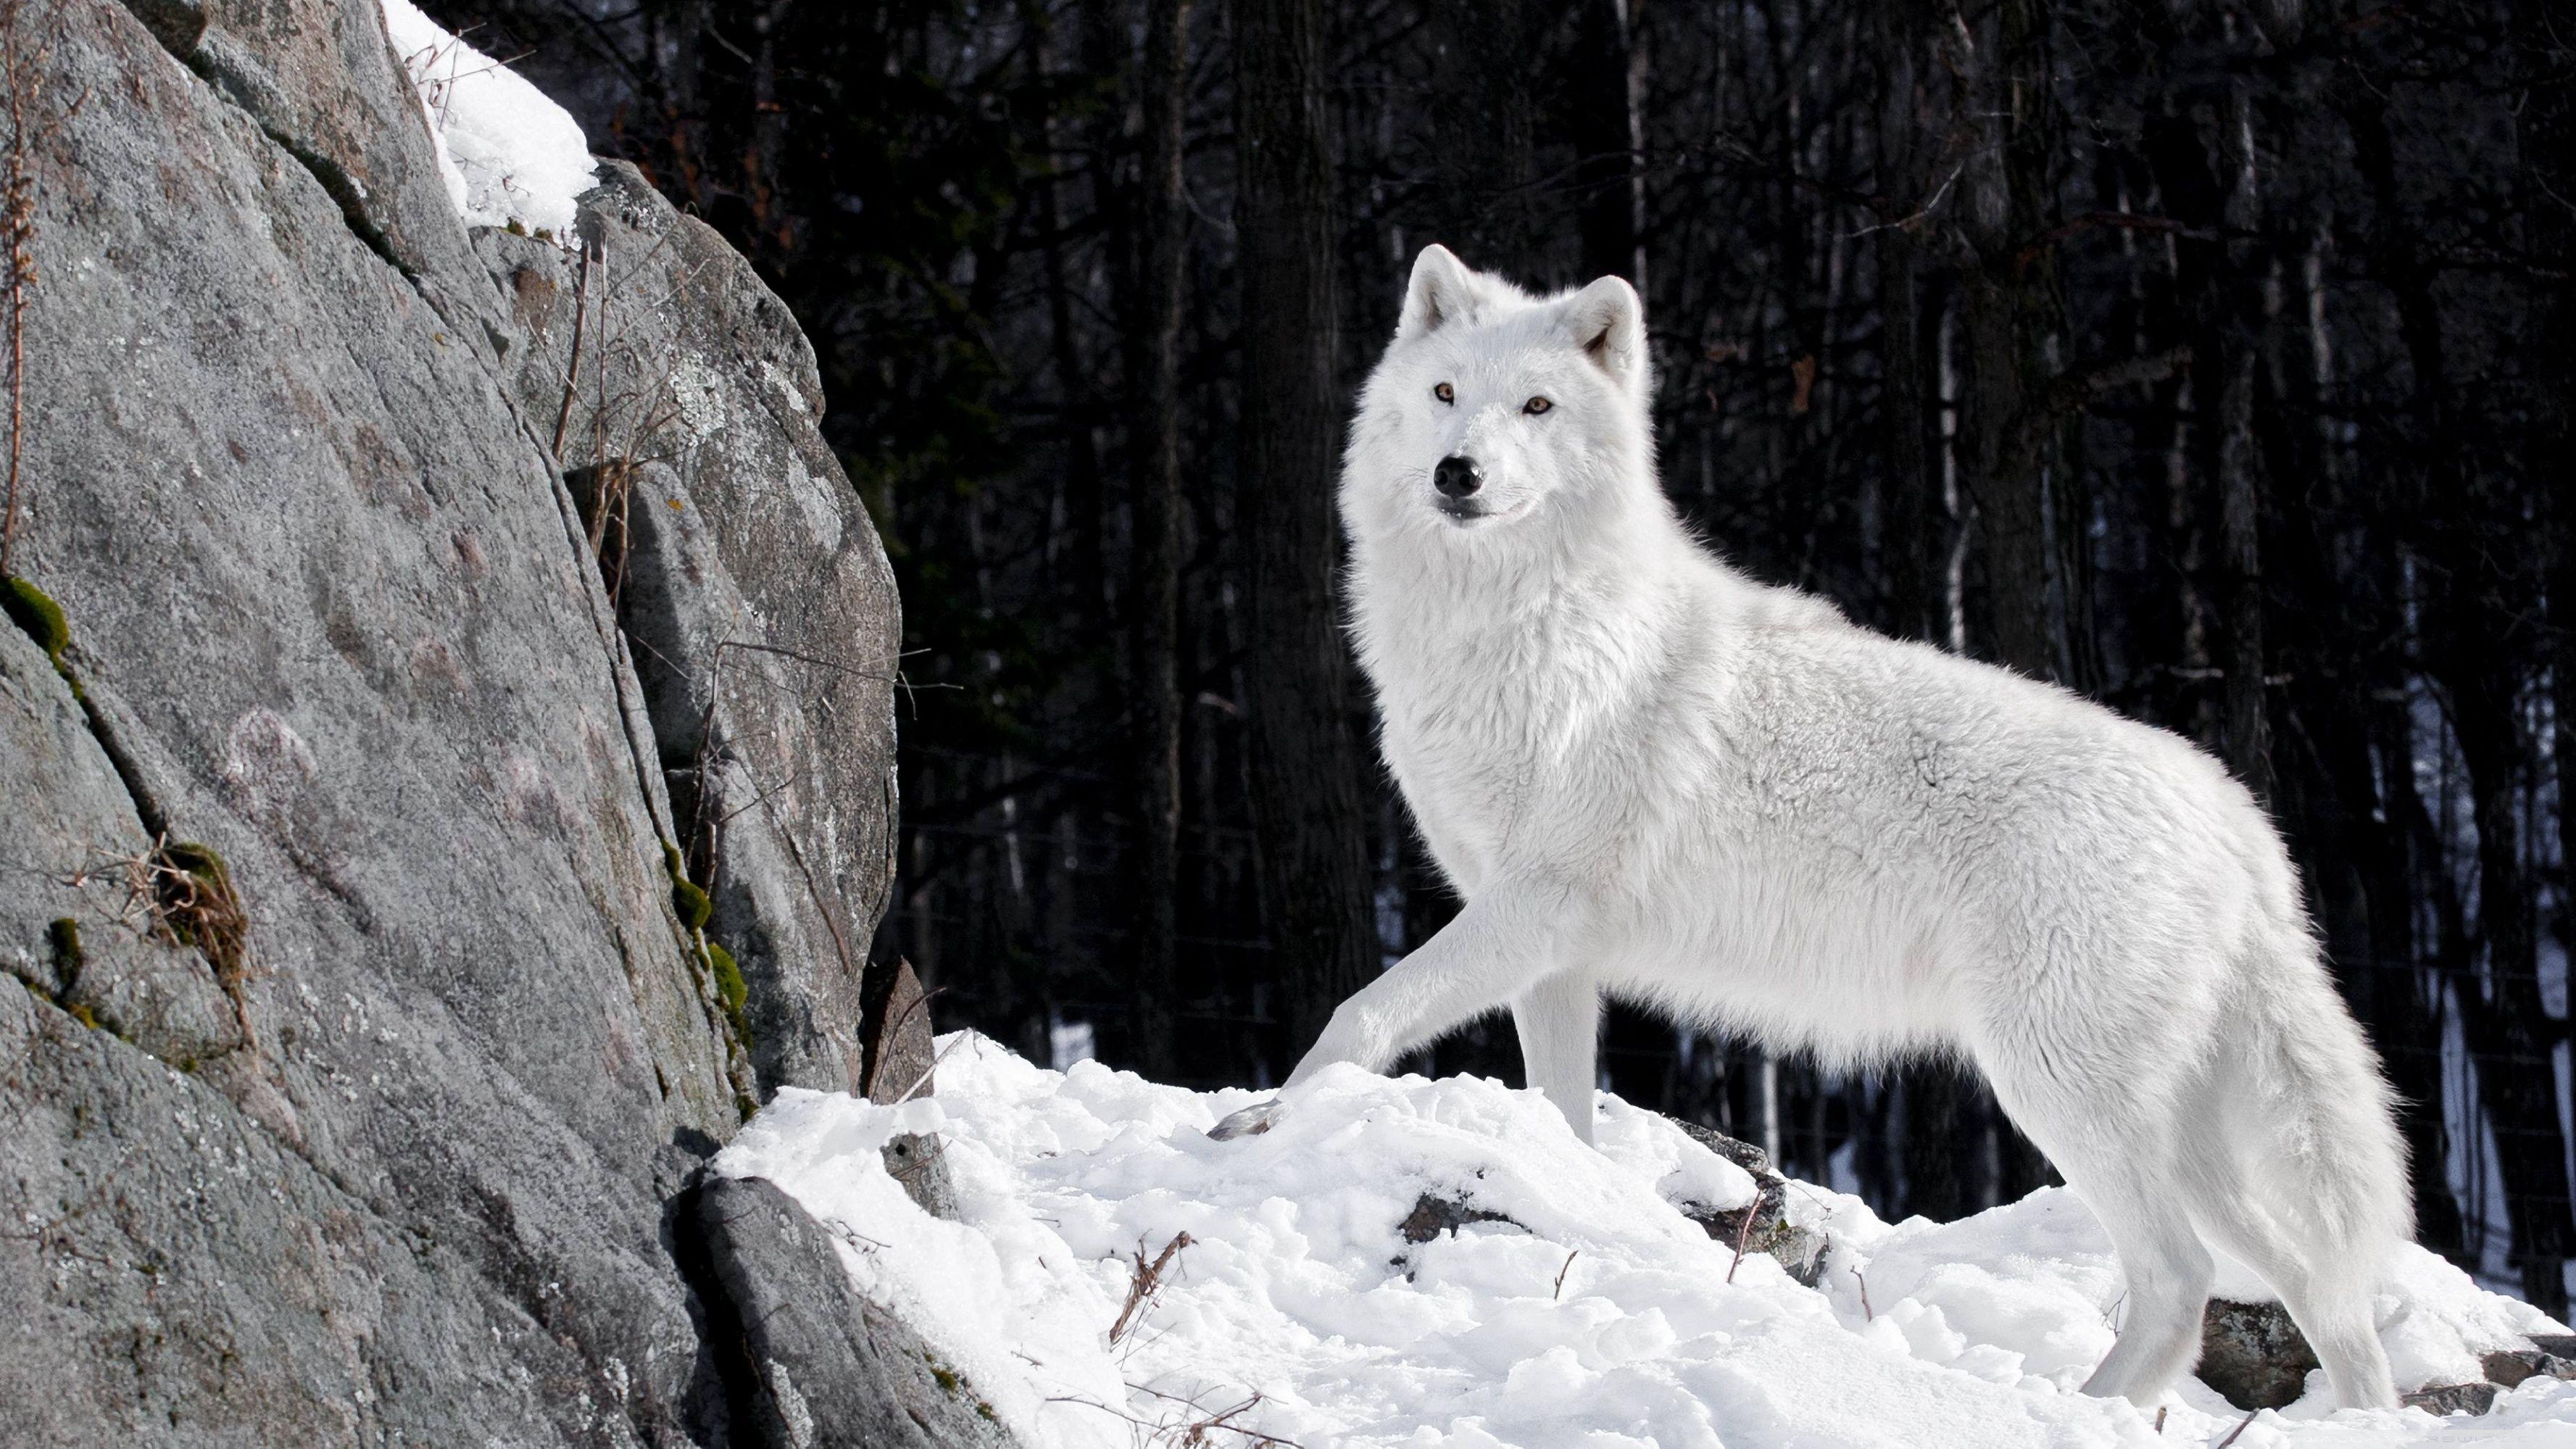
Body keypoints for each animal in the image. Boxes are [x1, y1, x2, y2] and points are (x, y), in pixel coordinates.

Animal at [1211, 244, 2411, 1411]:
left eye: (1537, 406)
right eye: (1447, 394)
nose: (1456, 472)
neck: (1520, 627)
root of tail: (2235, 814)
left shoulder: (1532, 907)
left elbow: (1357, 1014)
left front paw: (1260, 1124)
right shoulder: (1550, 954)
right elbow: (1560, 1113)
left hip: (2056, 1089)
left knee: (2181, 1278)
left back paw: (2077, 1410)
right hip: (2182, 1138)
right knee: (2316, 1285)